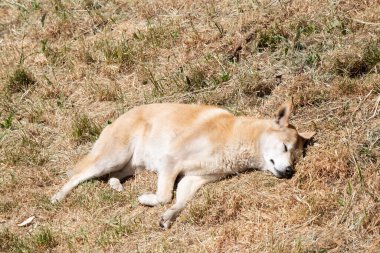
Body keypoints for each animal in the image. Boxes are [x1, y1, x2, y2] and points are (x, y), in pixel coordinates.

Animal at [52, 102, 316, 228]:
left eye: (296, 158)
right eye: (285, 148)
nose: (289, 171)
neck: (236, 138)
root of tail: (121, 115)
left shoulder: (194, 179)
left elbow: (179, 202)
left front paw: (168, 217)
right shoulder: (171, 161)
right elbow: (165, 196)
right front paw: (147, 199)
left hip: (132, 165)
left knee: (112, 175)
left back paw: (116, 185)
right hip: (114, 157)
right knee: (78, 176)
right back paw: (58, 196)